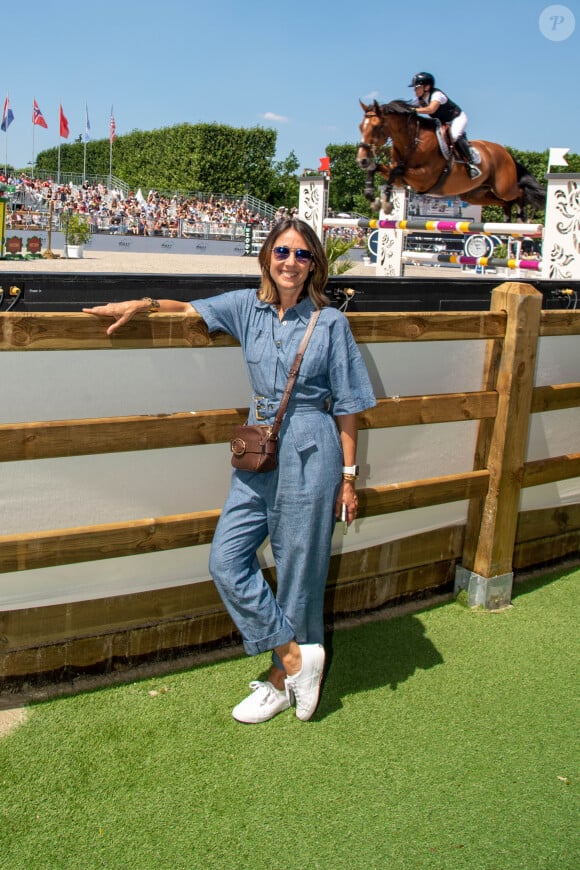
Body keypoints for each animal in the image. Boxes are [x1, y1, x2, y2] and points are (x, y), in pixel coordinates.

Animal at [356, 99, 548, 221]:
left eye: (377, 127)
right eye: (360, 127)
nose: (361, 160)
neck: (413, 142)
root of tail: (506, 153)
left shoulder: (424, 179)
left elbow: (396, 171)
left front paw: (386, 203)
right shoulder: (401, 177)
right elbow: (379, 169)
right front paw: (372, 195)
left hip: (503, 187)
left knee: (519, 193)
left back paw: (522, 216)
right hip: (475, 194)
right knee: (504, 202)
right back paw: (508, 216)